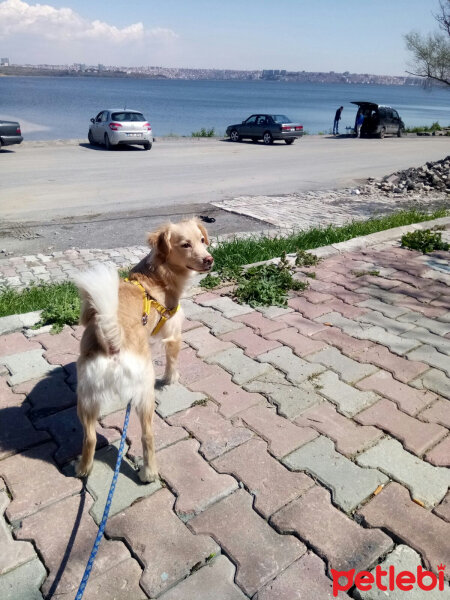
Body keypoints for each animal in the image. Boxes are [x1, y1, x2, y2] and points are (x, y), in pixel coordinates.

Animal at [73, 220, 214, 482]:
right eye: (185, 245)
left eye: (202, 240)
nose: (209, 259)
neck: (158, 274)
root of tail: (111, 341)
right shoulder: (173, 335)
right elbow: (172, 362)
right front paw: (171, 379)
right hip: (145, 393)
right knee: (147, 436)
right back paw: (149, 472)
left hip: (85, 399)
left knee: (90, 437)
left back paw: (83, 469)